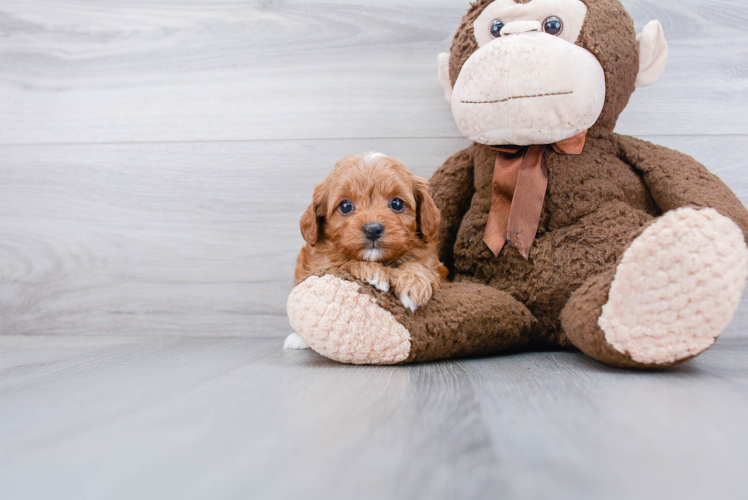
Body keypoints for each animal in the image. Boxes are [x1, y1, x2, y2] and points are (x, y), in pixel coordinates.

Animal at [294, 150, 448, 310]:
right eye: (345, 206)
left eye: (397, 203)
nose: (372, 230)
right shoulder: (320, 266)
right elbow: (342, 263)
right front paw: (373, 271)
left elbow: (421, 264)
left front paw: (414, 280)